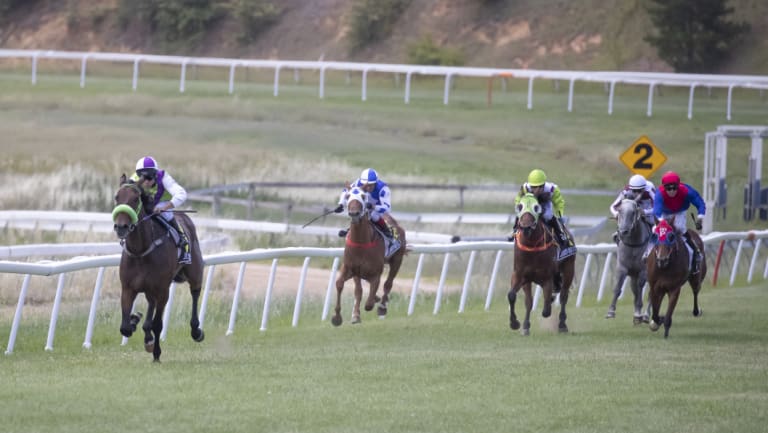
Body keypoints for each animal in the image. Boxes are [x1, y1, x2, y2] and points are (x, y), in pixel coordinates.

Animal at [112, 175, 204, 362]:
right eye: (117, 197)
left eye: (135, 199)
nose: (121, 227)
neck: (141, 251)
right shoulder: (128, 288)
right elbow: (125, 327)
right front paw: (135, 320)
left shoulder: (162, 290)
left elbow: (157, 325)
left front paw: (156, 353)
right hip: (149, 288)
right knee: (150, 304)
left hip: (194, 272)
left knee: (195, 292)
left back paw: (196, 330)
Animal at [332, 187, 404, 326]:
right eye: (348, 196)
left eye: (363, 196)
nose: (354, 213)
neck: (361, 243)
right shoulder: (352, 269)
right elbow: (344, 285)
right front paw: (341, 317)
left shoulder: (375, 273)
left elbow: (369, 302)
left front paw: (373, 302)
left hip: (397, 260)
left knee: (388, 283)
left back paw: (382, 307)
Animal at [508, 192, 572, 334]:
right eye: (520, 206)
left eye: (536, 207)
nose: (526, 227)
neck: (532, 246)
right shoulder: (521, 275)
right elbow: (515, 297)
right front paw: (517, 324)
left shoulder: (547, 277)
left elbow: (546, 309)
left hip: (568, 268)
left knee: (564, 295)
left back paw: (562, 324)